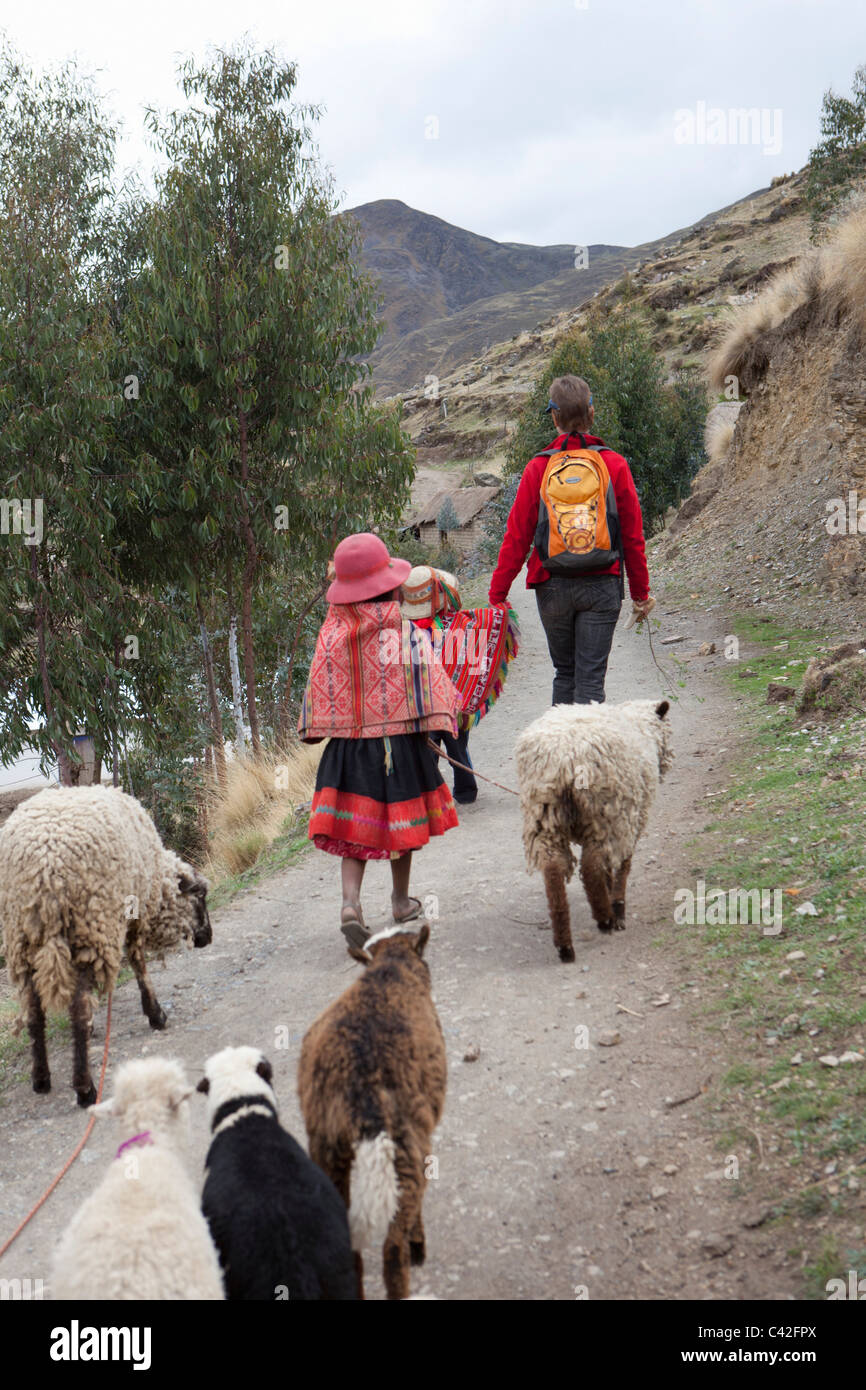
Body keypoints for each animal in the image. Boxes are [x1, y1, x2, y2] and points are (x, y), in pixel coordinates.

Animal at [297, 922, 447, 1301]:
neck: (389, 969)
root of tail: (357, 1095)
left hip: (326, 1150)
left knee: (349, 1250)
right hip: (405, 1146)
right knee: (392, 1248)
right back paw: (413, 1251)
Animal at [517, 700, 675, 961]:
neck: (641, 728)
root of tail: (564, 756)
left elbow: (607, 869)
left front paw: (610, 893)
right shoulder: (631, 820)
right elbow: (622, 866)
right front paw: (618, 905)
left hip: (544, 814)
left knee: (553, 870)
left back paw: (565, 945)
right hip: (605, 812)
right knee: (590, 867)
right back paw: (605, 919)